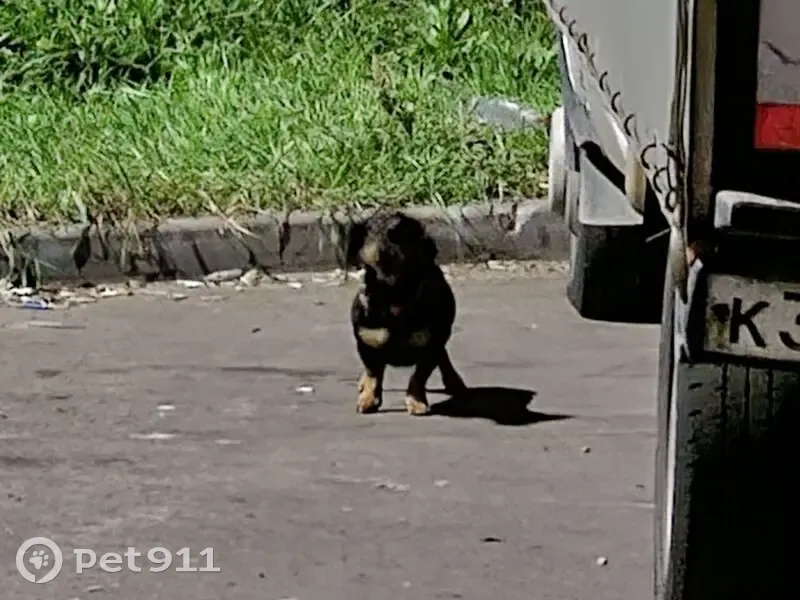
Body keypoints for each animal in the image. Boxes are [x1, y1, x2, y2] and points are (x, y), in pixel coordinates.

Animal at [346, 210, 467, 415]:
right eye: (373, 229)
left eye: (406, 232)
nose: (388, 247)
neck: (394, 295)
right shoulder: (368, 341)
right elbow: (373, 374)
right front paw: (369, 398)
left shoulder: (431, 345)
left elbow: (419, 376)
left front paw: (416, 401)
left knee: (443, 357)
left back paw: (454, 380)